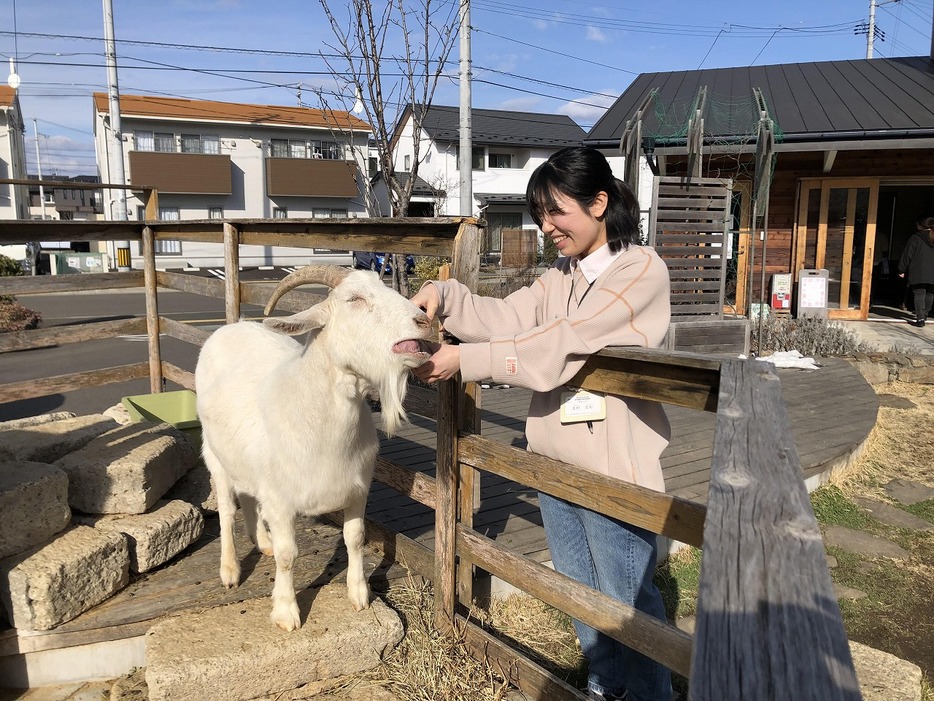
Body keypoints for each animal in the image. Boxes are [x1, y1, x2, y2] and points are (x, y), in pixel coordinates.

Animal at [197, 266, 436, 632]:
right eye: (354, 299)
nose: (423, 320)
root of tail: (231, 327)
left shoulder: (358, 490)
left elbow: (355, 537)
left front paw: (359, 595)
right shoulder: (281, 501)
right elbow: (288, 555)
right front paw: (286, 612)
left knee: (250, 497)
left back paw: (261, 541)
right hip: (215, 455)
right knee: (225, 509)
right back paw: (230, 571)